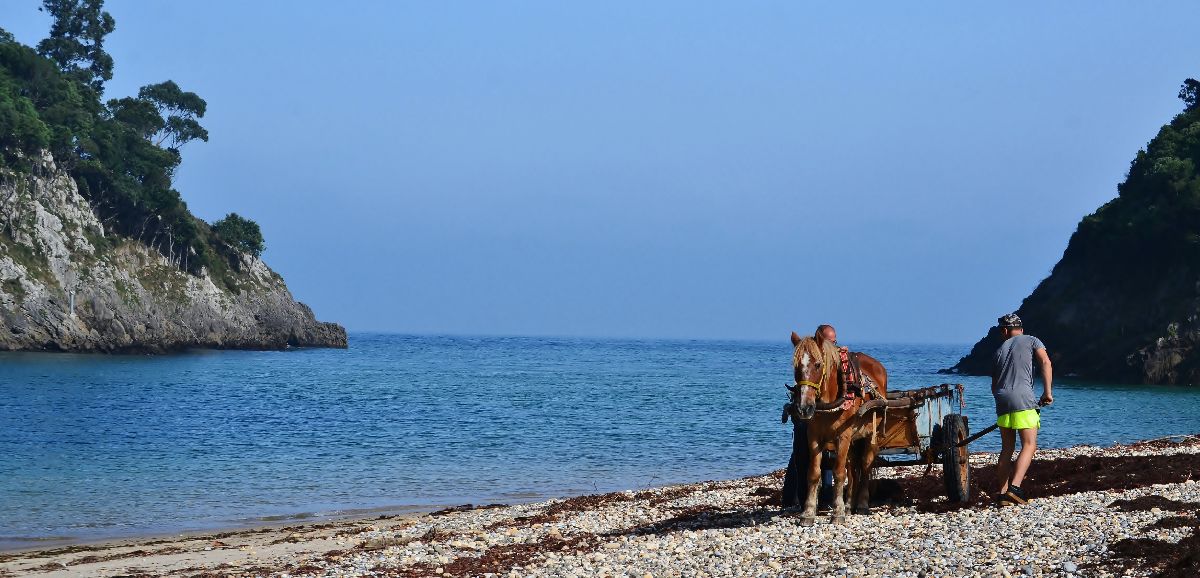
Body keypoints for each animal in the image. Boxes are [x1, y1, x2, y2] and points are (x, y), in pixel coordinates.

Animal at [792, 328, 888, 522]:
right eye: (796, 367)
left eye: (818, 365)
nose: (804, 408)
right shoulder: (813, 436)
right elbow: (814, 473)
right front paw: (808, 512)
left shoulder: (843, 436)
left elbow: (838, 473)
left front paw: (837, 512)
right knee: (852, 470)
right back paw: (850, 504)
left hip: (870, 435)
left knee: (865, 466)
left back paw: (862, 504)